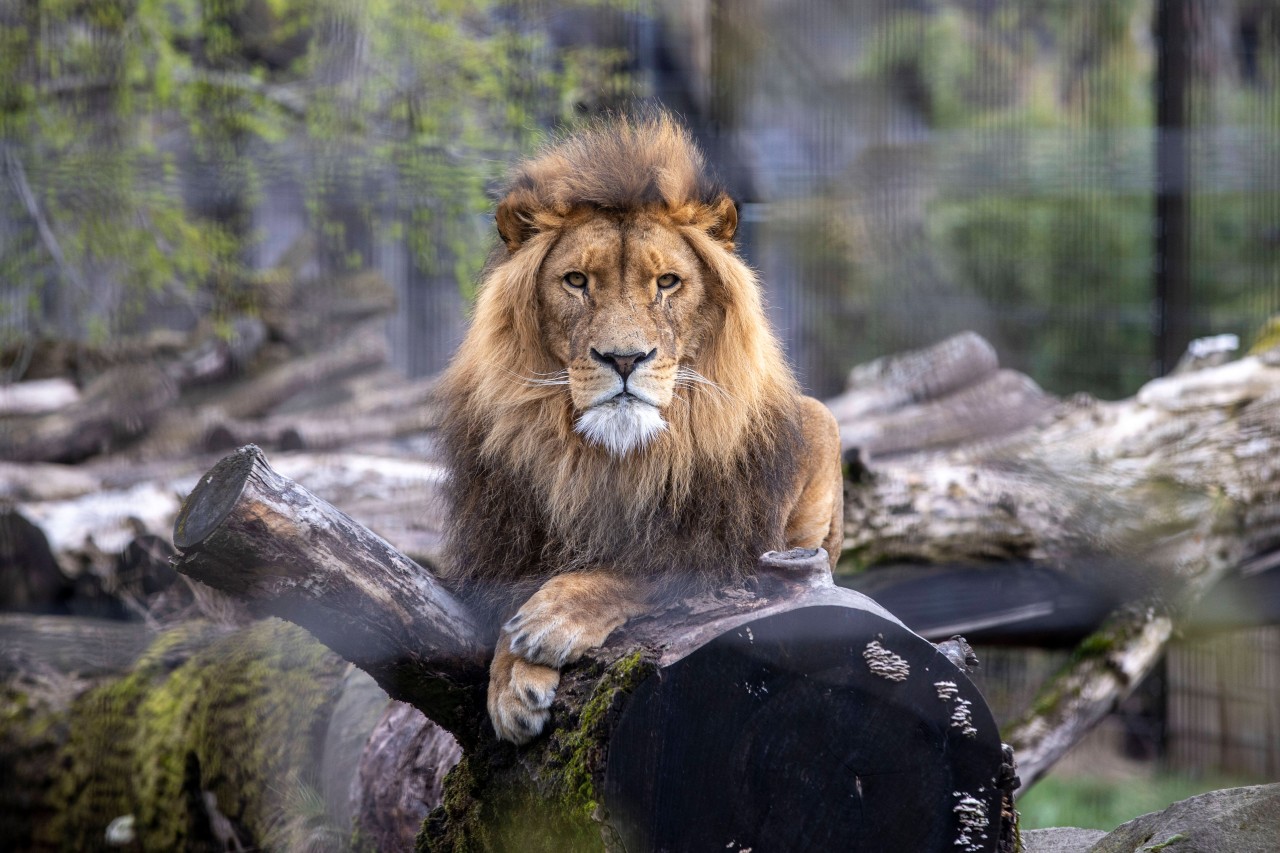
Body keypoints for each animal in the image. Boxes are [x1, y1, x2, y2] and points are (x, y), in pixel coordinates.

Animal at [435, 111, 844, 737]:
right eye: (577, 281)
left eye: (667, 283)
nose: (624, 359)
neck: (616, 459)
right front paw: (508, 681)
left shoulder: (728, 557)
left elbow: (641, 571)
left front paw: (551, 619)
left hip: (820, 420)